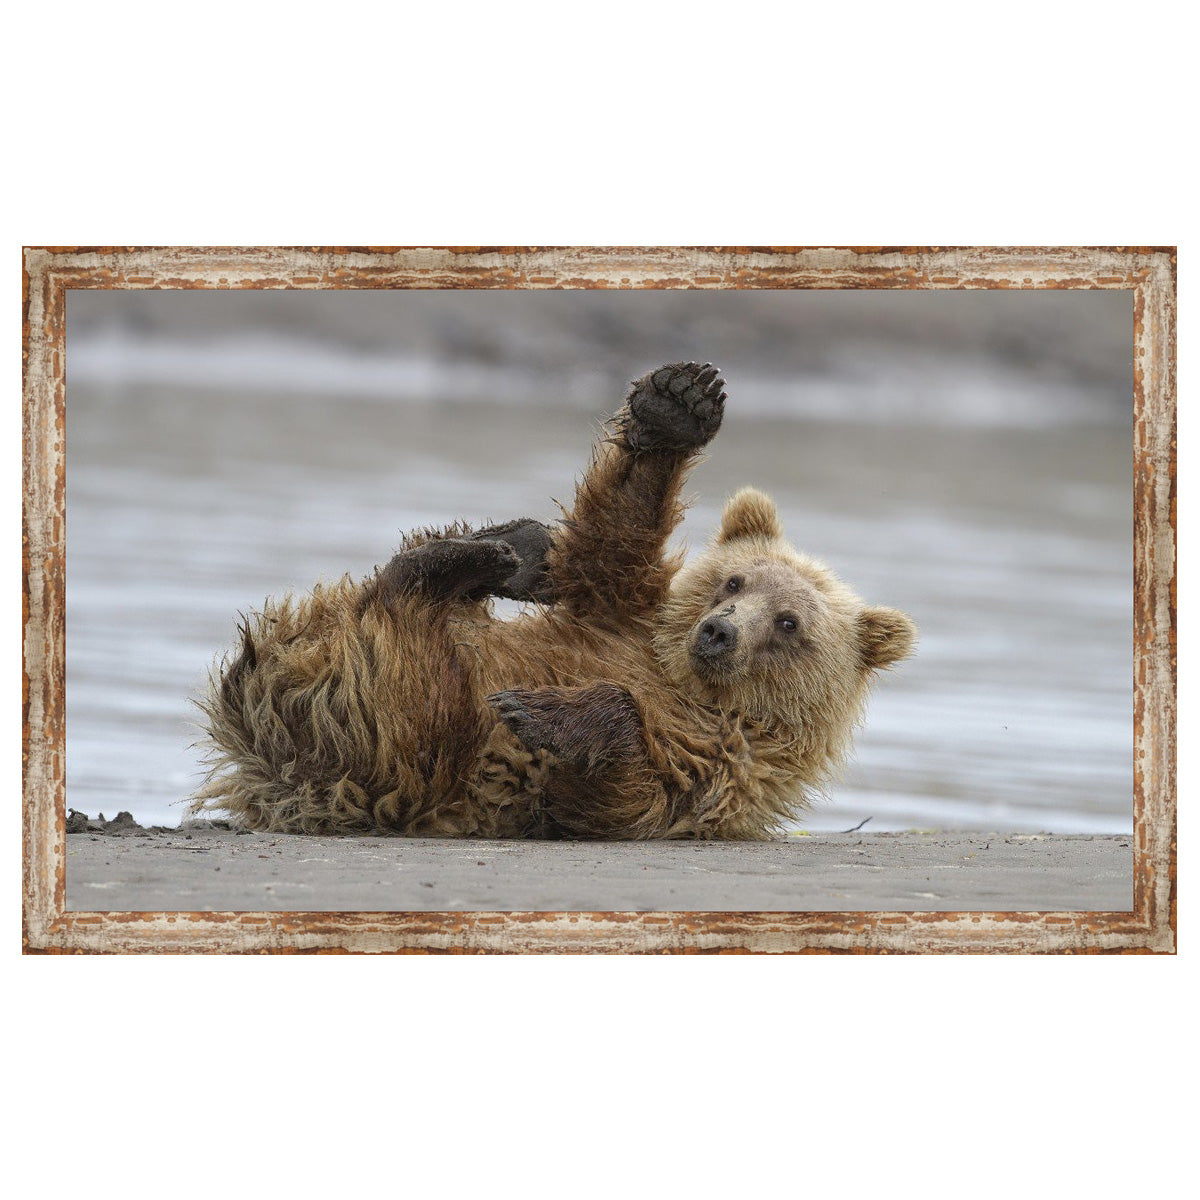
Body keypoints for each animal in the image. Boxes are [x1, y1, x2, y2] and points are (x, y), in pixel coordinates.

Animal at [192, 361, 915, 840]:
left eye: (790, 623)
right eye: (735, 582)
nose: (719, 632)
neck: (687, 682)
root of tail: (261, 759)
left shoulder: (720, 766)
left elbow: (623, 795)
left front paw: (542, 711)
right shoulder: (623, 623)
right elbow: (610, 551)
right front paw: (678, 405)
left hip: (399, 747)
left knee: (414, 674)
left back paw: (466, 564)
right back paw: (509, 548)